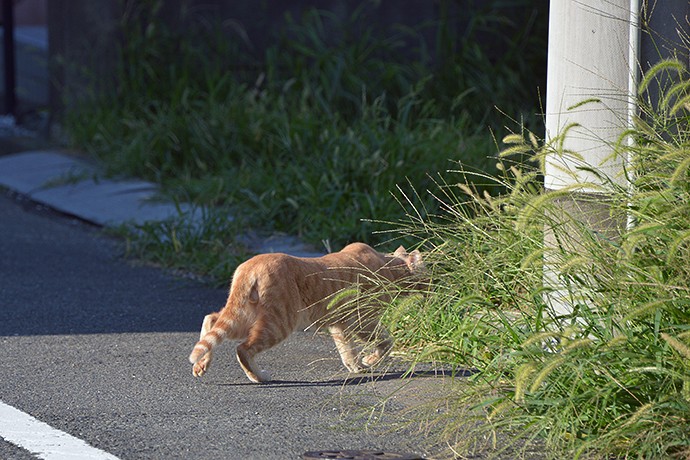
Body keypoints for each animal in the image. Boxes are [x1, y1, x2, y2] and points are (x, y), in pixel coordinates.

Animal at [191, 243, 422, 382]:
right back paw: (258, 377)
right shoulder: (362, 320)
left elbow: (347, 349)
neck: (387, 266)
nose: (430, 291)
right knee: (243, 348)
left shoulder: (340, 324)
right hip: (280, 322)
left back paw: (202, 364)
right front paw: (369, 360)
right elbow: (386, 341)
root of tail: (248, 267)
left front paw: (356, 366)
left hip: (246, 315)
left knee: (211, 319)